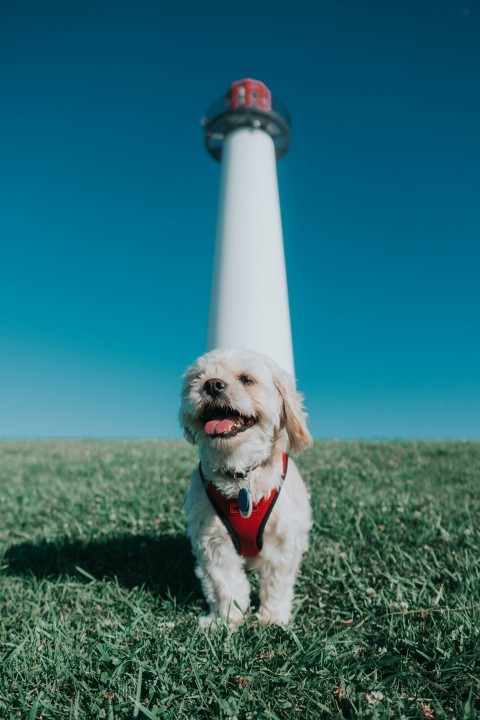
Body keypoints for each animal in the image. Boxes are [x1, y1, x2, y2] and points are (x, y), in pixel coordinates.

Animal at [178, 346, 314, 628]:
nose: (212, 384)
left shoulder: (282, 542)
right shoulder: (214, 543)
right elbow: (225, 584)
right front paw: (226, 620)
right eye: (198, 377)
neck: (240, 475)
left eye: (246, 379)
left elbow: (276, 584)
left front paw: (272, 619)